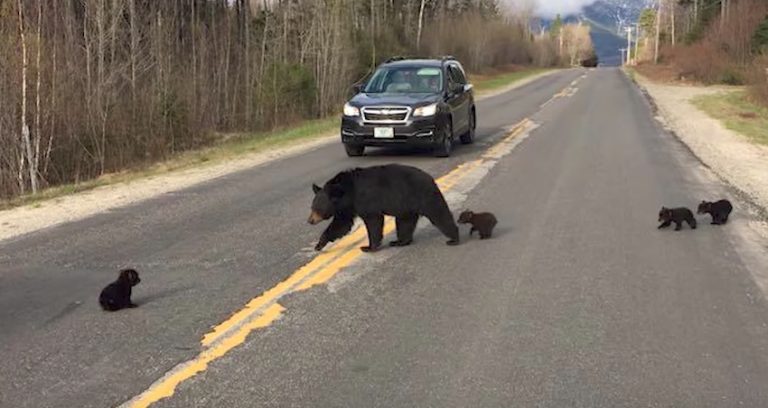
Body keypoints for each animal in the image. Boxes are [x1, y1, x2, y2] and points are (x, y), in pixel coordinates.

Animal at [308, 164, 460, 252]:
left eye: (316, 208)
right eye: (312, 207)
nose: (310, 220)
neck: (348, 191)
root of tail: (430, 178)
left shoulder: (365, 199)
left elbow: (373, 221)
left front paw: (368, 247)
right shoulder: (347, 208)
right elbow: (341, 224)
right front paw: (319, 245)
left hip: (424, 195)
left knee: (439, 214)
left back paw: (454, 238)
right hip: (406, 206)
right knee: (405, 223)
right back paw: (400, 241)